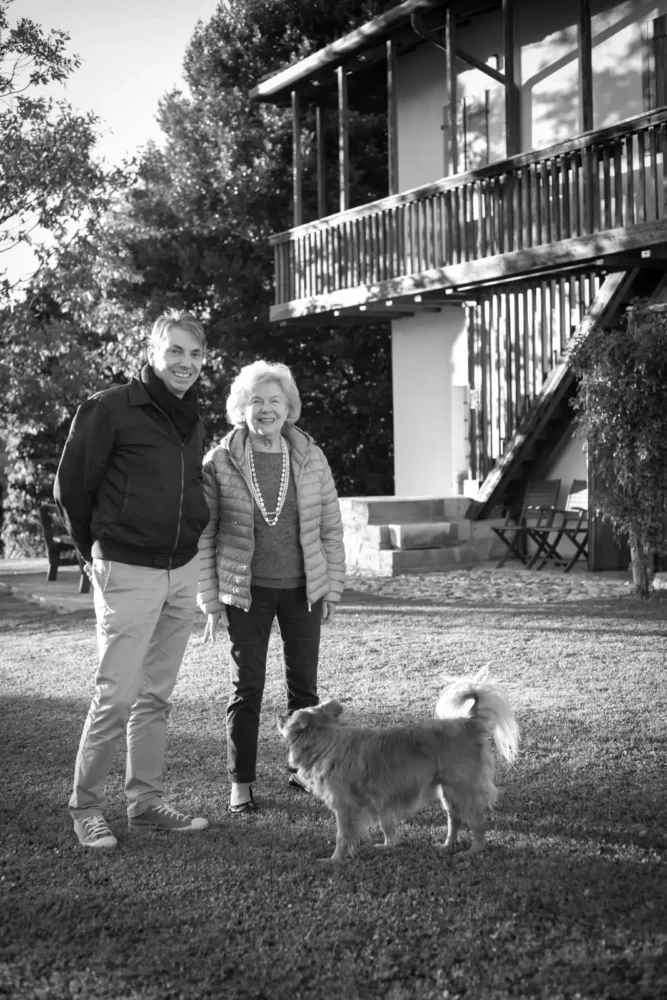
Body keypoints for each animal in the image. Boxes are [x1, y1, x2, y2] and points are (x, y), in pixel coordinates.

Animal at [280, 676, 520, 864]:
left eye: (290, 716)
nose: (280, 716)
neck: (327, 741)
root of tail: (469, 722)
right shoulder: (381, 800)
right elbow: (387, 825)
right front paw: (388, 845)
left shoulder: (344, 807)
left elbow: (343, 836)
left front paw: (334, 860)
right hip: (447, 792)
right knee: (455, 819)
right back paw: (447, 845)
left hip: (462, 790)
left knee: (477, 824)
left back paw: (472, 851)